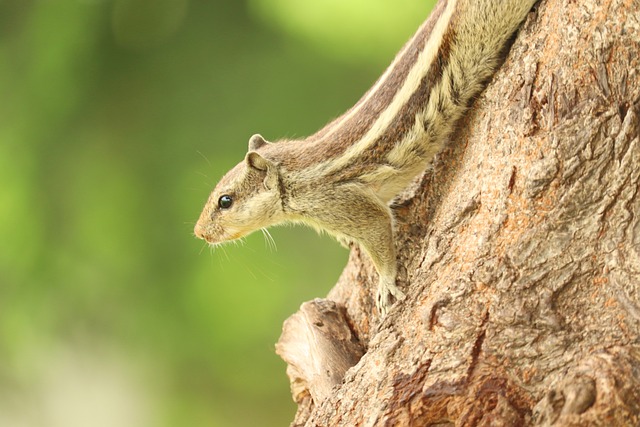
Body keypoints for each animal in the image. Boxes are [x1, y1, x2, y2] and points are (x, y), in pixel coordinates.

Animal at [195, 0, 540, 318]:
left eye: (225, 201)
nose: (198, 233)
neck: (292, 176)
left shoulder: (344, 204)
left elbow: (378, 229)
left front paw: (386, 284)